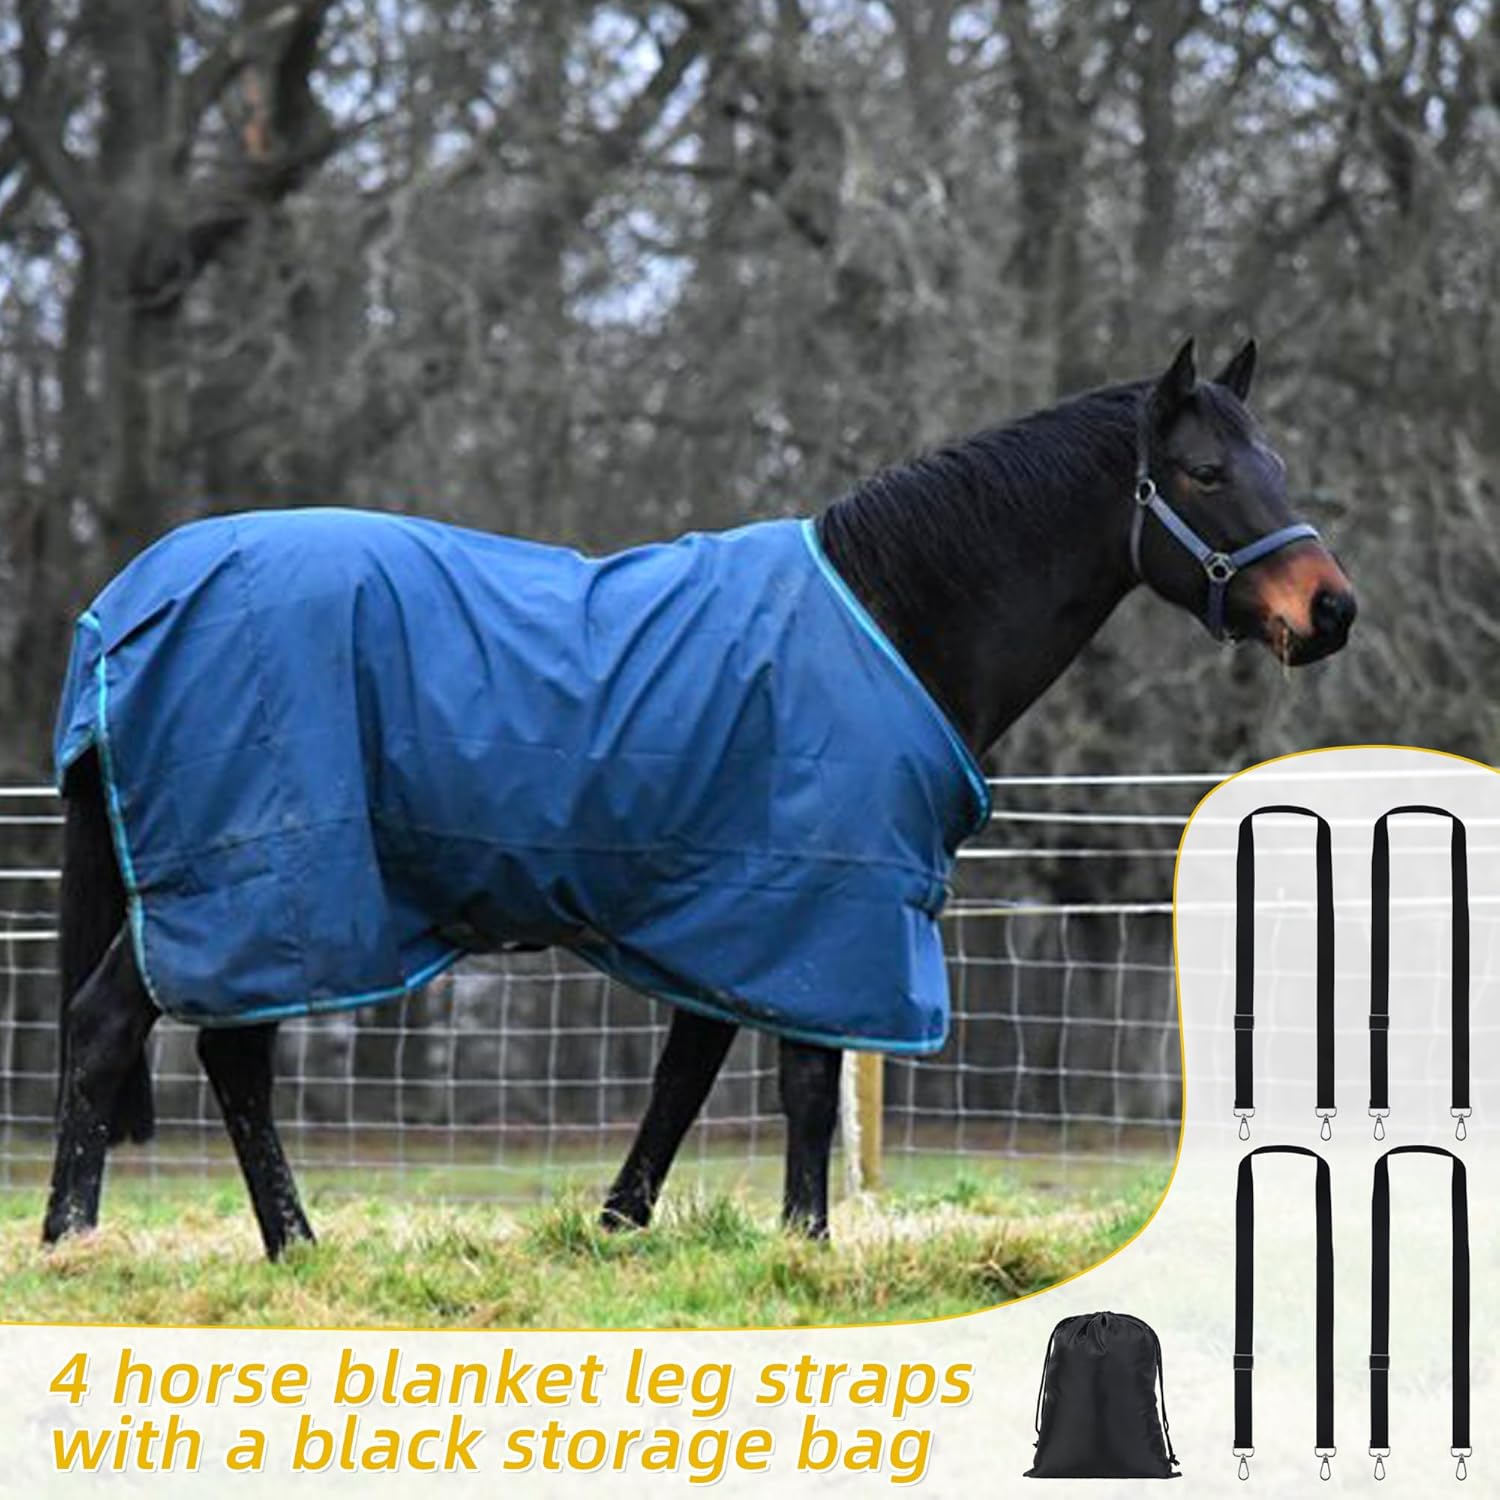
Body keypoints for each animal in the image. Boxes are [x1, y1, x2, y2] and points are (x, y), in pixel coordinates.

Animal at [41, 338, 1355, 1260]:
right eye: (1203, 471)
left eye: (1278, 466)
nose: (1330, 609)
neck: (892, 617)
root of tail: (126, 604)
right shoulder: (824, 906)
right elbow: (807, 1088)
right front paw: (806, 1249)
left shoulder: (737, 915)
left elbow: (687, 1079)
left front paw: (623, 1232)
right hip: (253, 884)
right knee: (121, 1031)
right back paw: (77, 1245)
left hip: (265, 902)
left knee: (225, 1057)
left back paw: (293, 1251)